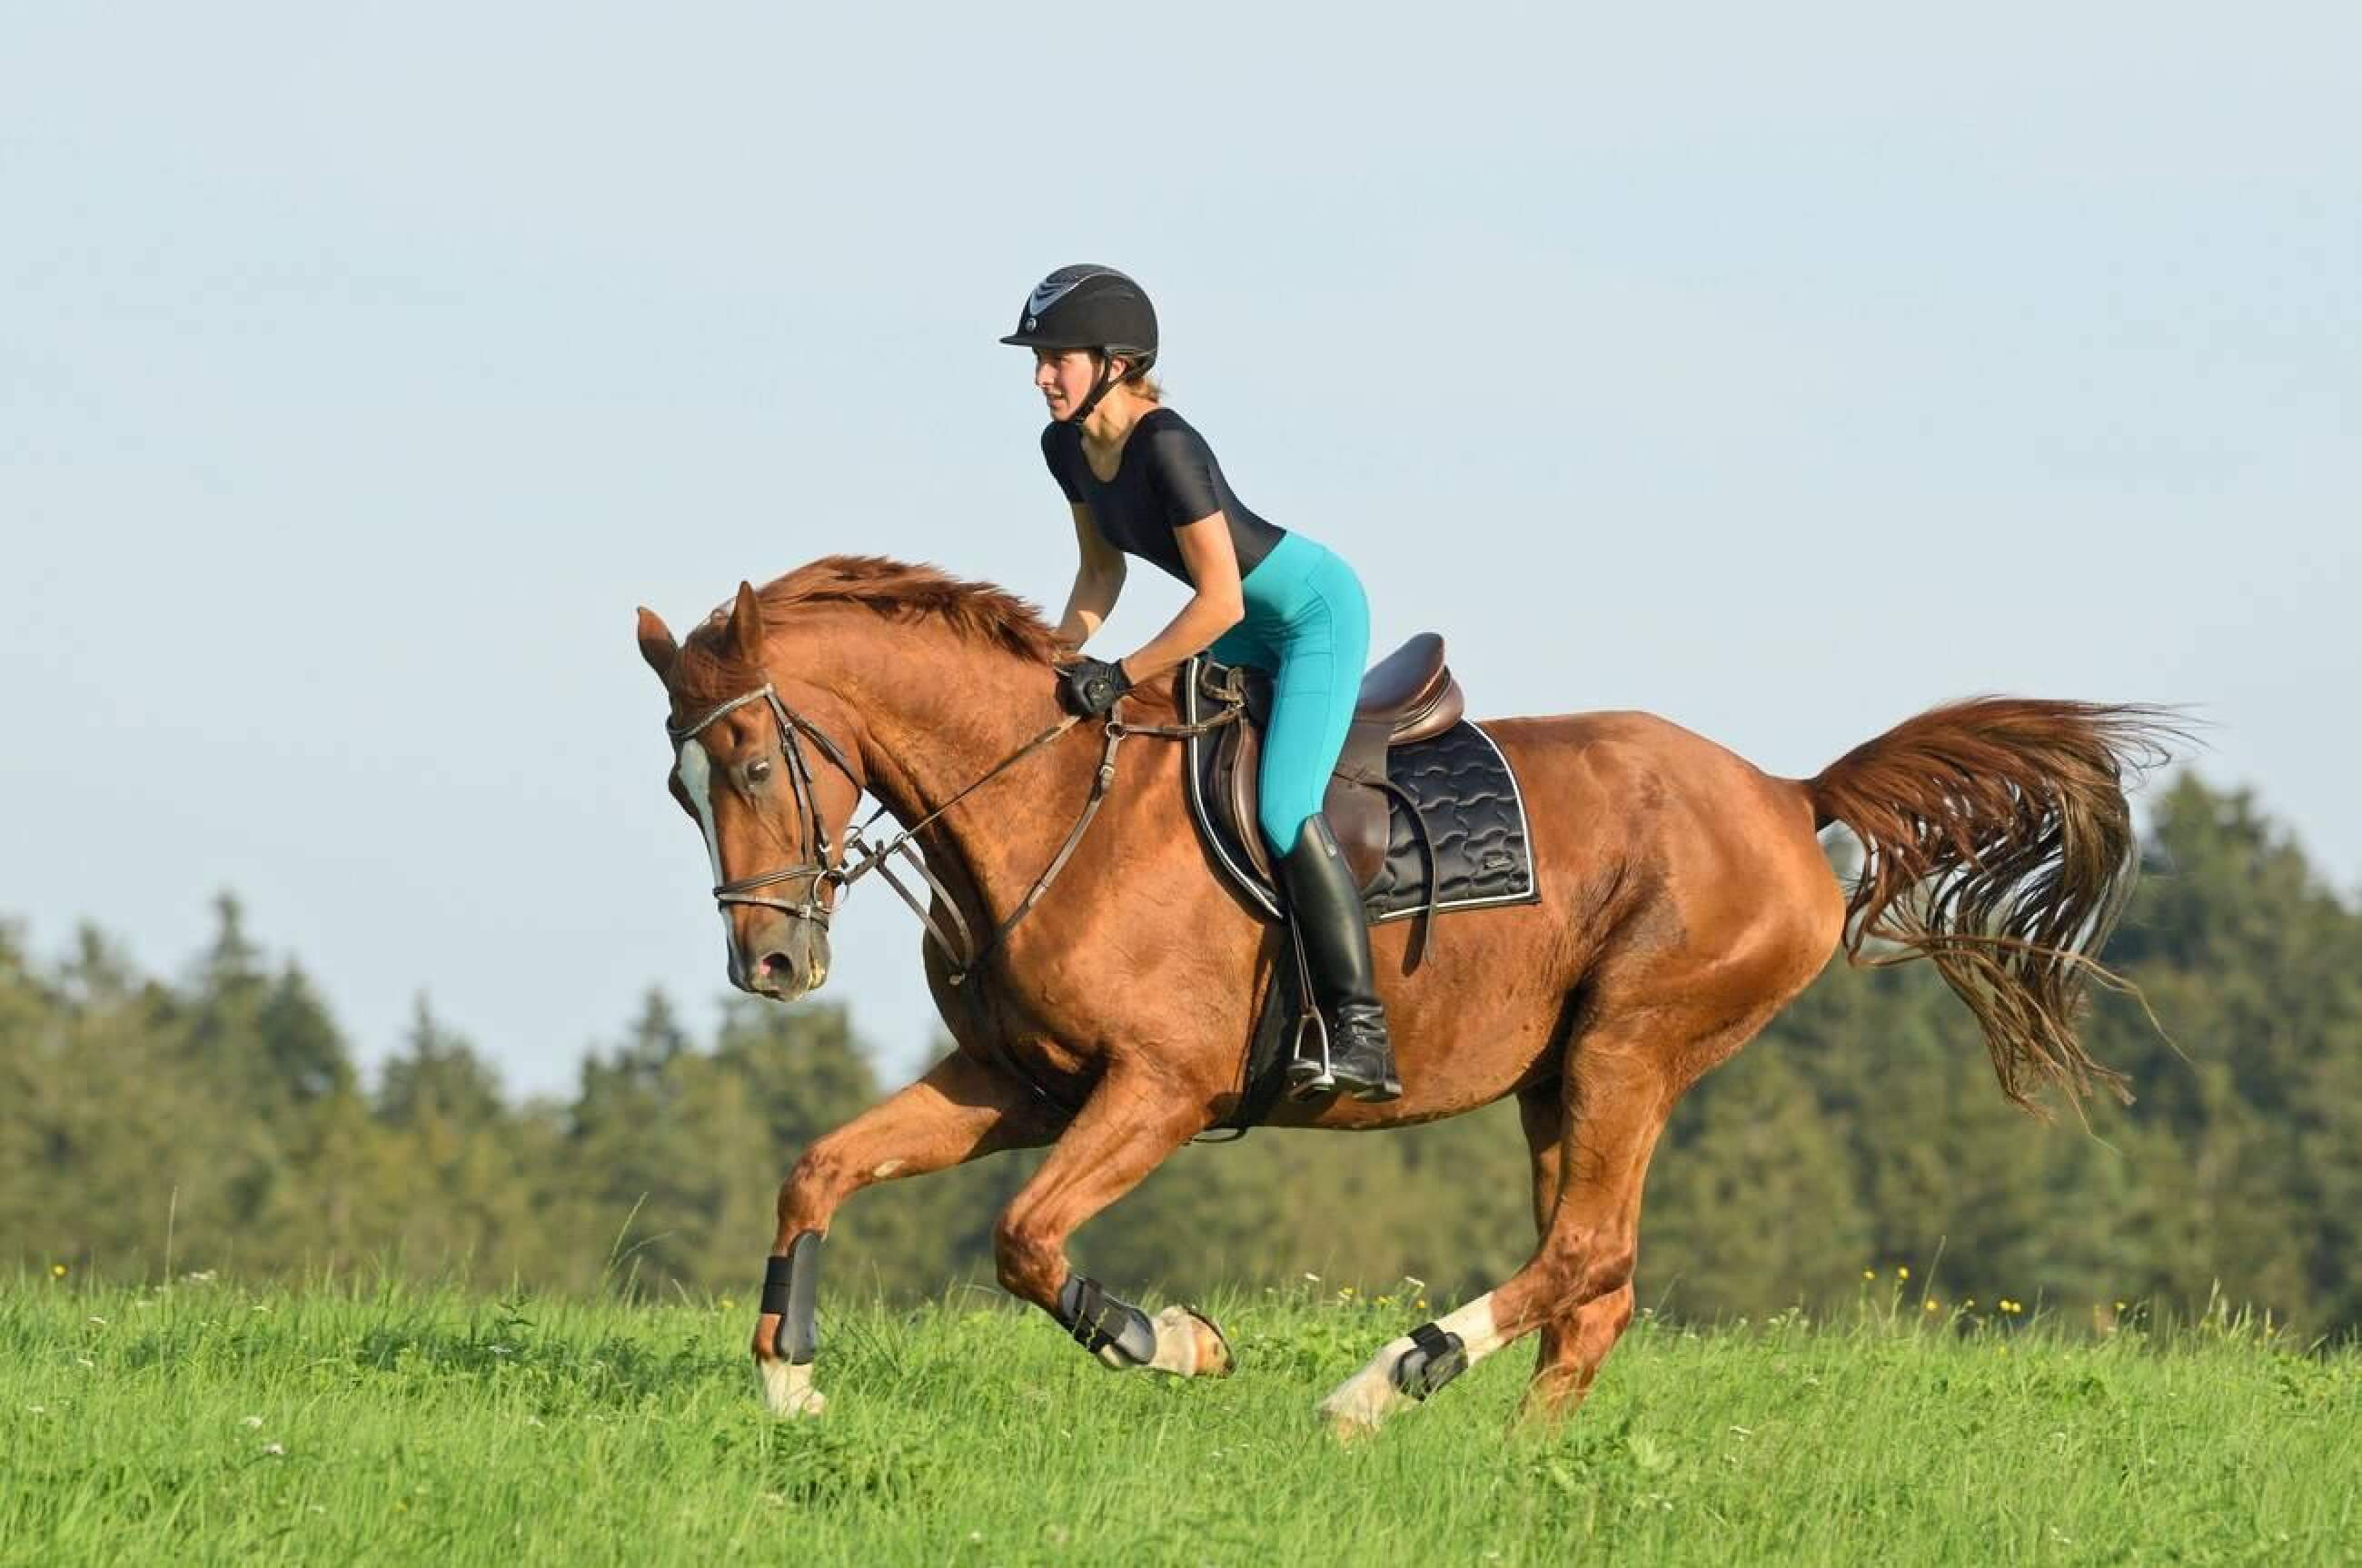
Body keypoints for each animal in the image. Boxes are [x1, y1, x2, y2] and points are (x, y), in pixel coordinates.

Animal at [632, 550, 2173, 1435]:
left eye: (755, 763)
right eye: (677, 783)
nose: (770, 966)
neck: (1049, 798)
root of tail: (1789, 797)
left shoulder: (1160, 1088)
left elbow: (1022, 1241)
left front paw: (1175, 1342)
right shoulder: (1020, 1082)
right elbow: (820, 1167)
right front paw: (788, 1379)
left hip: (1632, 1044)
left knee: (1586, 1256)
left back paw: (1381, 1385)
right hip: (1562, 1080)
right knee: (1595, 1287)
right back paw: (1516, 1472)